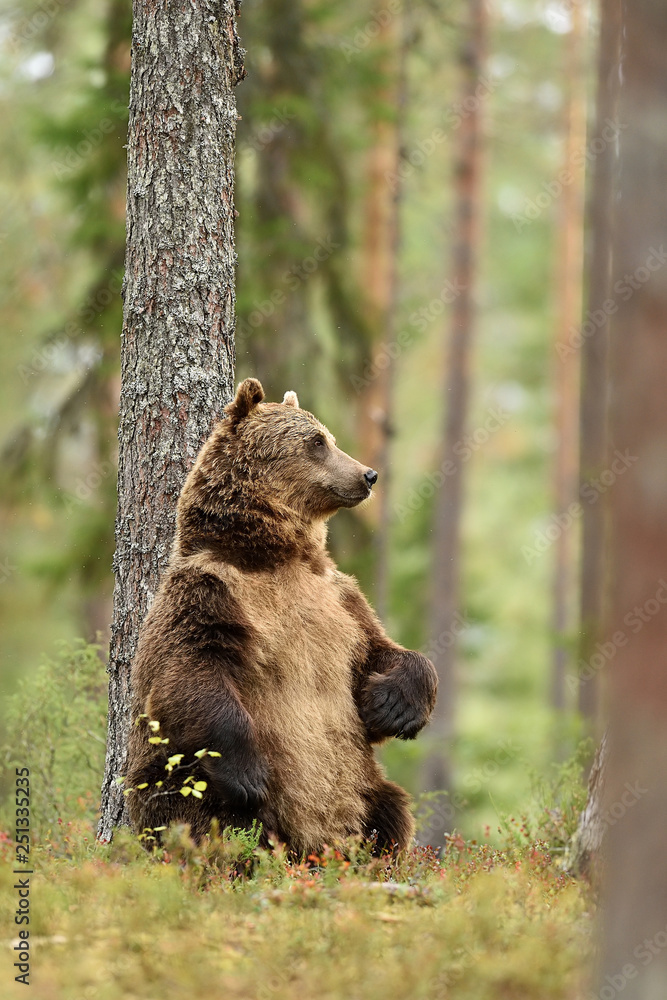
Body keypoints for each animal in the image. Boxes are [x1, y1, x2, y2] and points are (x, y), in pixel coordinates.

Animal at [125, 377, 438, 856]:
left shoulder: (339, 599)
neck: (271, 555)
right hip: (178, 775)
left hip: (365, 784)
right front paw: (248, 775)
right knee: (199, 816)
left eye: (329, 437)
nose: (368, 474)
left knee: (392, 812)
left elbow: (380, 651)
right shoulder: (209, 592)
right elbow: (189, 671)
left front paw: (389, 705)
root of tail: (312, 843)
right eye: (317, 442)